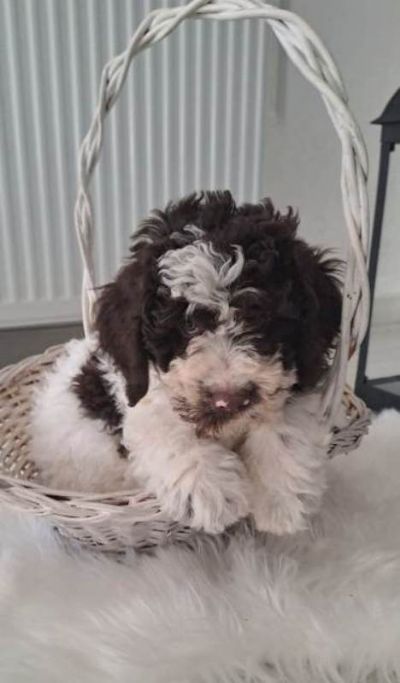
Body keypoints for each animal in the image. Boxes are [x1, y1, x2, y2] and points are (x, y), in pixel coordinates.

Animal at [31, 192, 342, 536]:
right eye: (187, 326)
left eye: (262, 319)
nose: (227, 399)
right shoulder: (140, 394)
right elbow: (164, 425)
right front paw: (211, 491)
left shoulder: (294, 379)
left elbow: (285, 421)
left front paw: (280, 497)